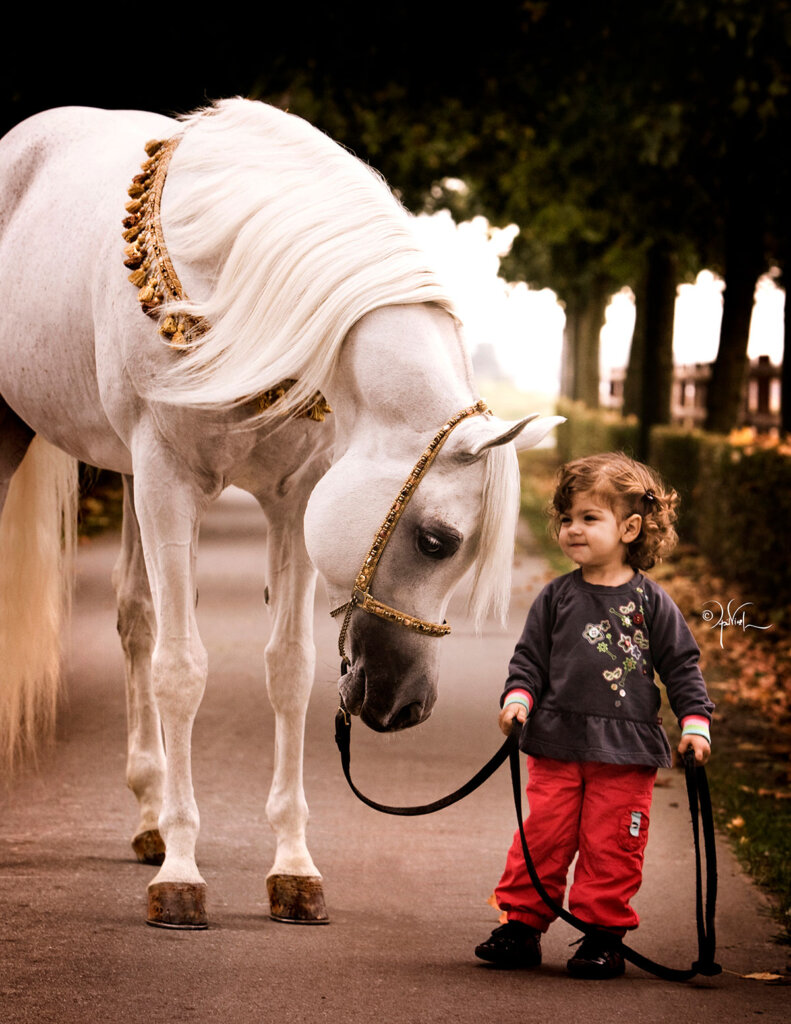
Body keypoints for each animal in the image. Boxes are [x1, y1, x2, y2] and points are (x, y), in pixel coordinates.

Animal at [0, 98, 561, 929]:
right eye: (436, 541)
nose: (409, 705)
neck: (237, 290)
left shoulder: (295, 498)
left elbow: (289, 668)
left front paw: (293, 869)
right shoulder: (168, 481)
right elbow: (181, 669)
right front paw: (181, 875)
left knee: (136, 616)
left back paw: (147, 816)